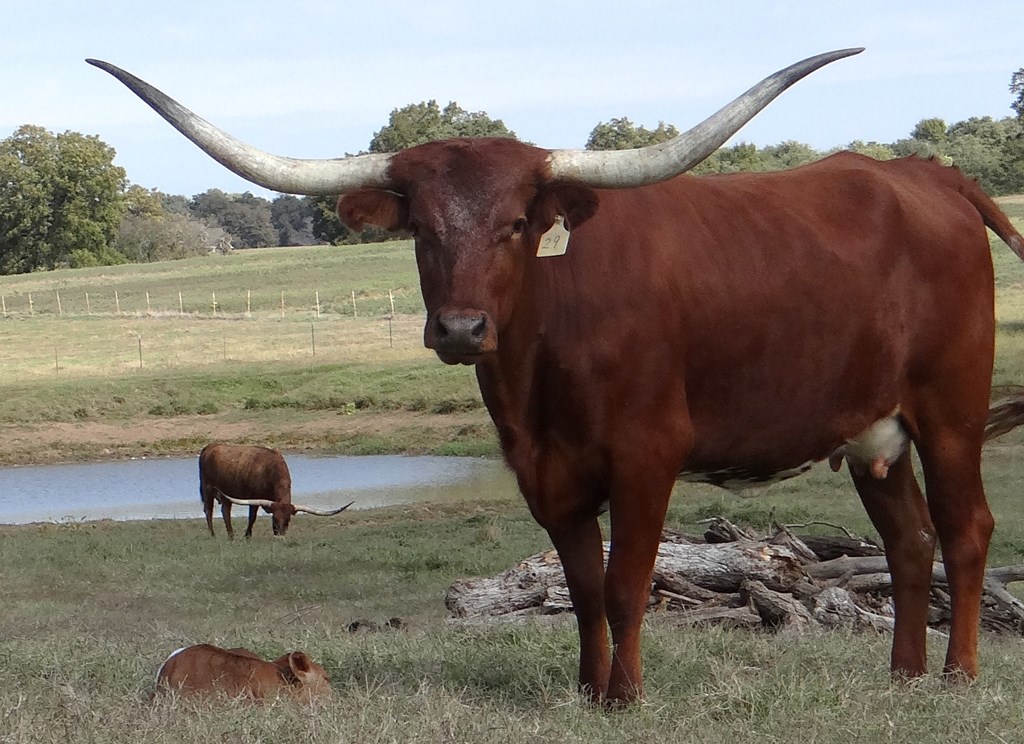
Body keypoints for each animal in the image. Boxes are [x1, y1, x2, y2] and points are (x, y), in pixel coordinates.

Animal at [198, 443, 353, 538]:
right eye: (275, 519)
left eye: (288, 520)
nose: (279, 534)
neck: (270, 469)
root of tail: (209, 447)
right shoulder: (254, 498)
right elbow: (252, 517)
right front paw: (247, 536)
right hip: (207, 489)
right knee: (208, 510)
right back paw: (213, 535)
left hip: (225, 494)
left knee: (225, 511)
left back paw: (231, 536)